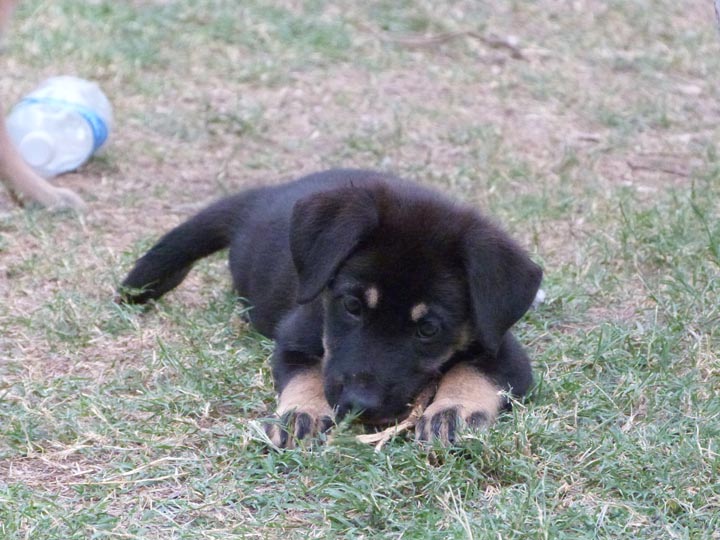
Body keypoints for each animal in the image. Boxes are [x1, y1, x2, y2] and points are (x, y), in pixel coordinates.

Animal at [121, 170, 544, 448]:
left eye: (428, 329)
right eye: (352, 306)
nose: (359, 405)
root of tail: (263, 199)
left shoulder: (504, 352)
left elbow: (473, 374)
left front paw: (452, 411)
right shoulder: (293, 338)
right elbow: (306, 375)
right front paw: (303, 414)